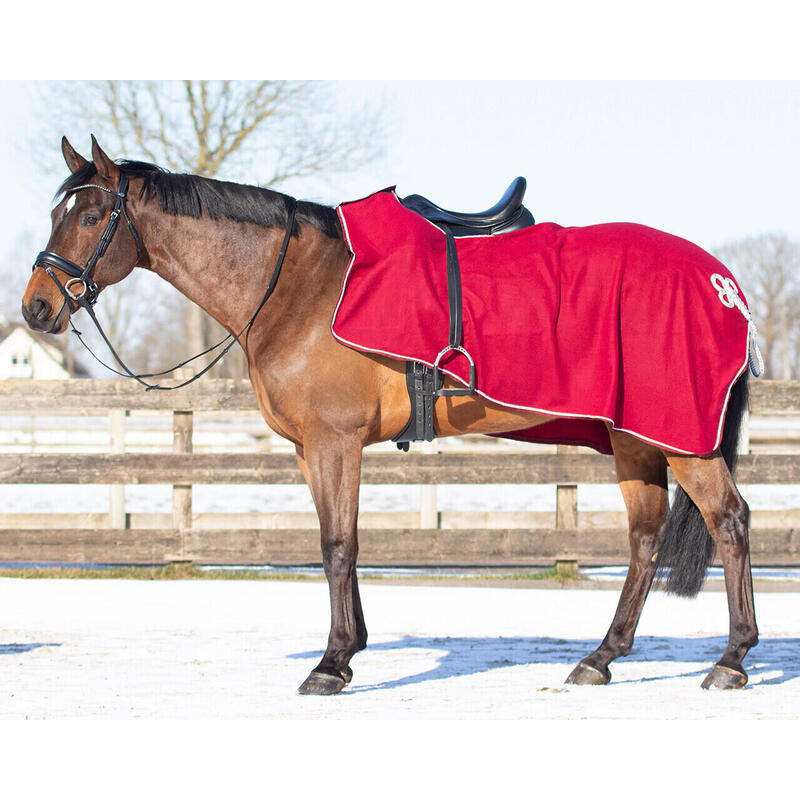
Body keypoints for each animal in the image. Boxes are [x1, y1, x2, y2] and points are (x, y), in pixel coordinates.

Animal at [21, 136, 758, 695]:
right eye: (58, 212)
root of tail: (722, 283)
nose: (36, 307)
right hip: (634, 437)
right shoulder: (310, 450)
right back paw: (600, 658)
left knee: (729, 521)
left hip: (681, 438)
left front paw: (330, 663)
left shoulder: (335, 443)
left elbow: (337, 547)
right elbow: (338, 544)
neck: (298, 286)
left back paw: (731, 659)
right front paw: (349, 650)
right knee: (644, 540)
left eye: (90, 217)